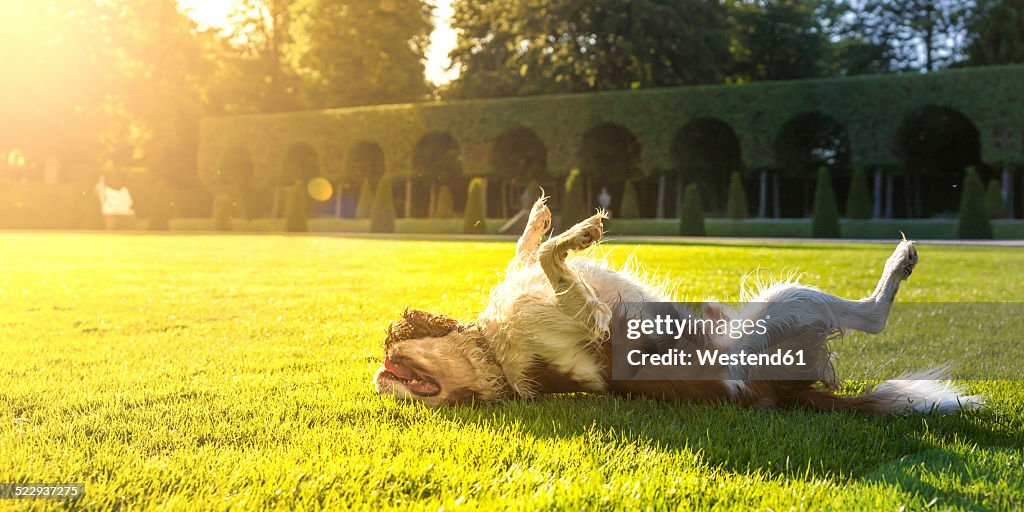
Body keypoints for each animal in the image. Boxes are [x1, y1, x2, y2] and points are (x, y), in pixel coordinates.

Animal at [372, 197, 978, 413]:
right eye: (409, 382)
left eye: (397, 368)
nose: (381, 375)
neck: (496, 354)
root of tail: (783, 393)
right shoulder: (586, 321)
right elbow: (550, 258)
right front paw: (577, 233)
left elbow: (526, 252)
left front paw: (540, 217)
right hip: (776, 312)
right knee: (872, 317)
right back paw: (900, 262)